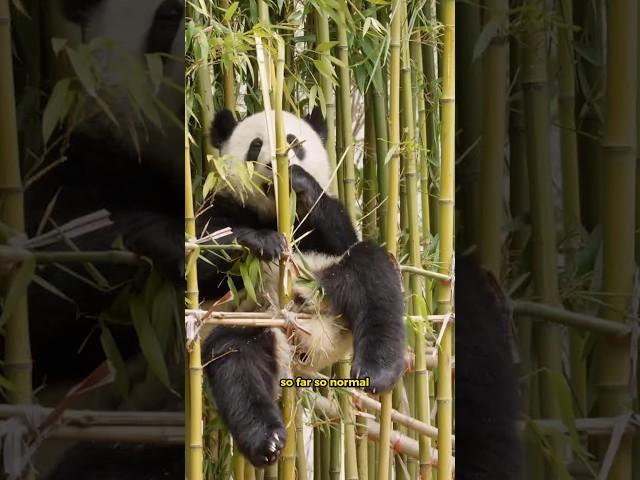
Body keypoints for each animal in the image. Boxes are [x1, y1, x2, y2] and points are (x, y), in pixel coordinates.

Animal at [201, 110, 404, 466]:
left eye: (294, 143)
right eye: (255, 146)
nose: (275, 165)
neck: (274, 211)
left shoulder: (326, 228)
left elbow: (340, 234)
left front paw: (299, 181)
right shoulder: (220, 204)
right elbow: (202, 257)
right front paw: (261, 242)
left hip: (325, 282)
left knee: (371, 273)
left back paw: (376, 370)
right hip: (251, 317)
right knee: (234, 358)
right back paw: (266, 441)